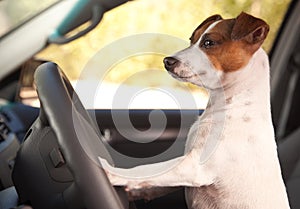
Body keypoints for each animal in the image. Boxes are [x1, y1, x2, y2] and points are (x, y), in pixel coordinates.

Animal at [99, 12, 290, 208]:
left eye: (209, 43)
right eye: (192, 40)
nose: (167, 61)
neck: (229, 104)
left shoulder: (193, 166)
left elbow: (146, 170)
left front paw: (111, 172)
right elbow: (152, 181)